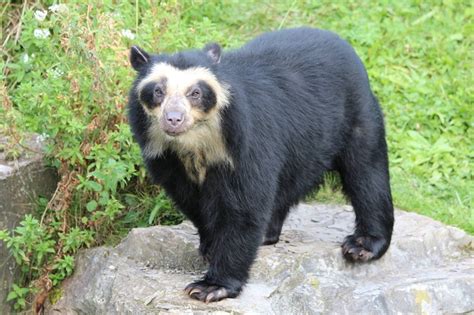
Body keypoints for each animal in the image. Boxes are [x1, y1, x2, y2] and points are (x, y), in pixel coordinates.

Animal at [128, 27, 394, 304]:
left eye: (196, 93)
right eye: (157, 91)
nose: (173, 119)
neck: (195, 144)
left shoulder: (246, 142)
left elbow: (244, 207)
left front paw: (210, 287)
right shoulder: (166, 159)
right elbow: (192, 203)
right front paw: (210, 247)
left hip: (357, 116)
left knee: (366, 173)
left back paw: (362, 245)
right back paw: (268, 234)